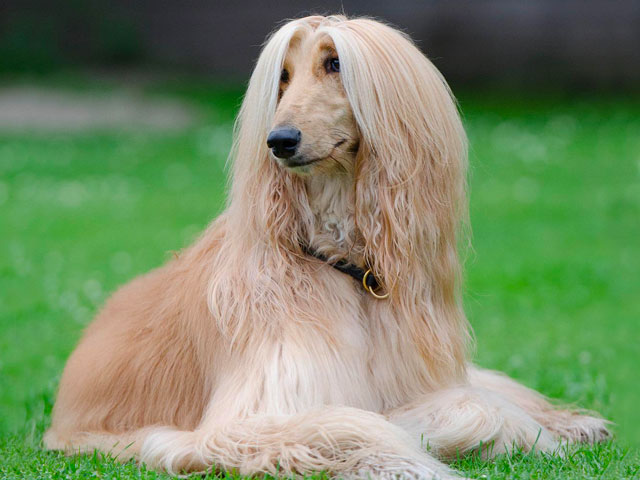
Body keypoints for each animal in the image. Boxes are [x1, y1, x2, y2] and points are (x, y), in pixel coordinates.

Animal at [45, 15, 608, 480]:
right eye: (282, 76)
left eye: (334, 63)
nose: (280, 141)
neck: (339, 261)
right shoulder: (244, 419)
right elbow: (374, 421)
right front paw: (418, 454)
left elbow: (468, 399)